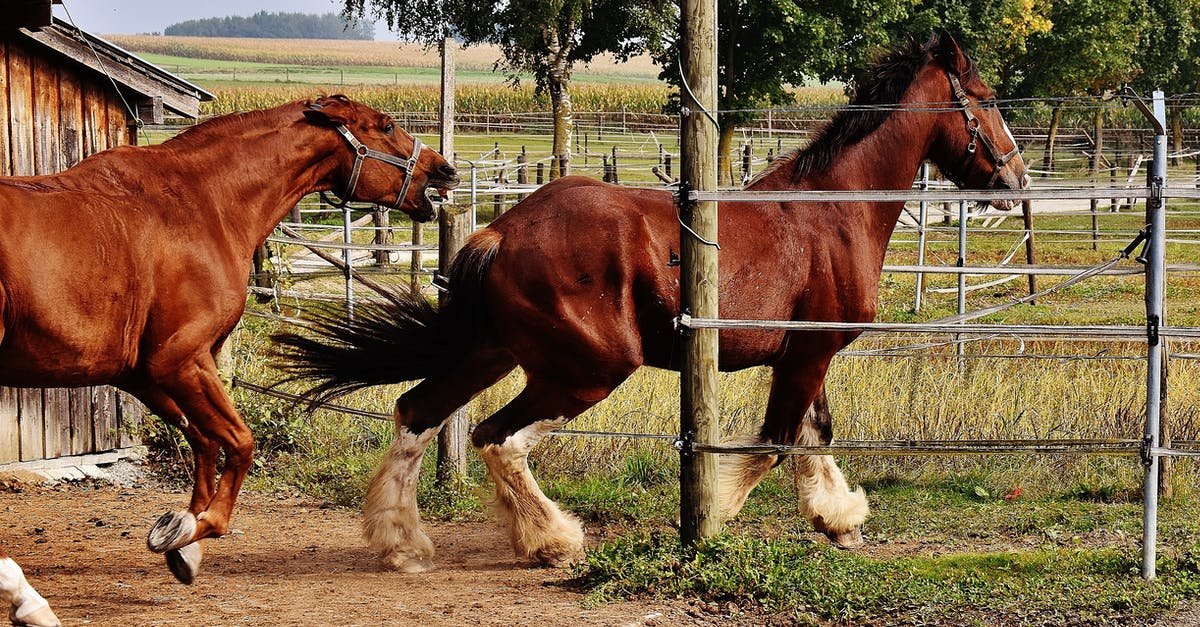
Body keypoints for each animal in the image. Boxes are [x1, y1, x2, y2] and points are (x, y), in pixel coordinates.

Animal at [0, 94, 458, 591]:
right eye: (387, 125)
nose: (445, 170)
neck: (203, 203)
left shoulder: (146, 375)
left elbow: (204, 442)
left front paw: (184, 543)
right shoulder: (180, 362)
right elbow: (239, 443)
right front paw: (196, 527)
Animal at [273, 33, 1028, 571]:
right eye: (989, 100)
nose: (1016, 179)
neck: (830, 211)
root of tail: (502, 229)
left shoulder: (803, 355)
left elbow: (815, 434)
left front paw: (839, 519)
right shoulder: (808, 353)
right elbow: (773, 443)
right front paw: (715, 519)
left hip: (496, 353)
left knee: (417, 412)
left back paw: (401, 544)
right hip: (589, 367)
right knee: (497, 437)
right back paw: (552, 541)